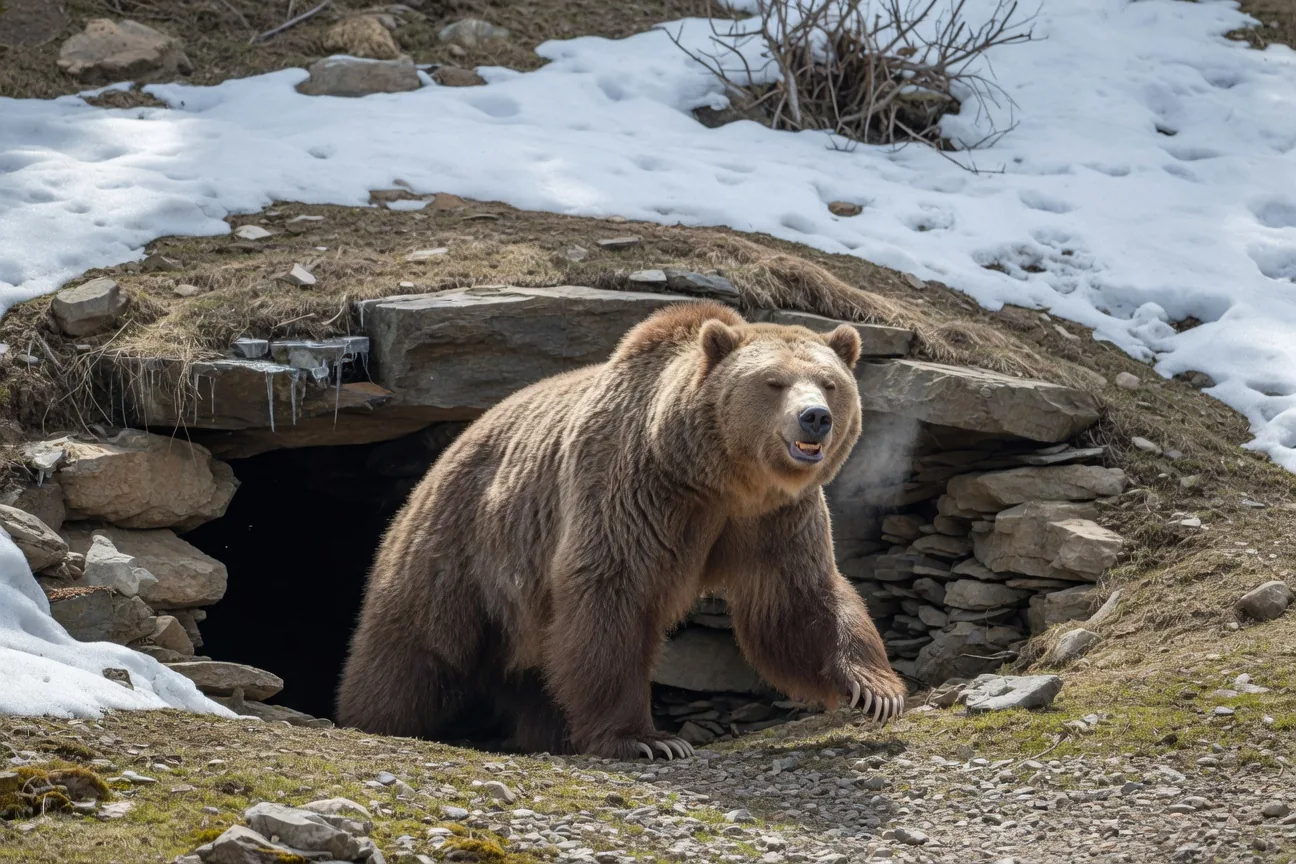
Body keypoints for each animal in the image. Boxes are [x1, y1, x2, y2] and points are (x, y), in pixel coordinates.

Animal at [335, 301, 906, 759]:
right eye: (773, 383)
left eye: (830, 383)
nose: (815, 418)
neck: (718, 477)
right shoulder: (635, 489)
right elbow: (614, 595)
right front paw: (648, 739)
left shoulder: (773, 517)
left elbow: (797, 599)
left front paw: (877, 691)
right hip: (460, 548)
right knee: (413, 651)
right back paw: (371, 718)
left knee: (536, 678)